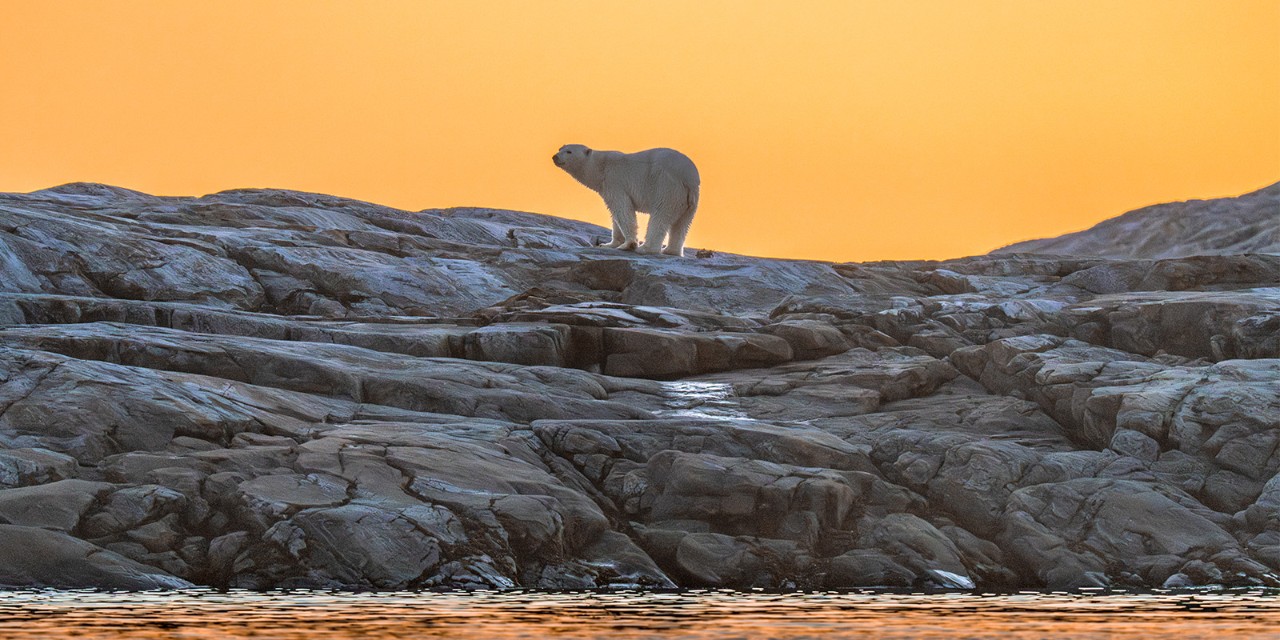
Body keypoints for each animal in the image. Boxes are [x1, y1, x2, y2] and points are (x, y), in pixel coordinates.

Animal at [552, 144, 700, 257]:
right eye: (560, 148)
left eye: (569, 151)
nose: (555, 156)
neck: (601, 166)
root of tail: (689, 178)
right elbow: (615, 215)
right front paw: (608, 244)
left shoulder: (614, 181)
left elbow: (622, 209)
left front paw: (628, 245)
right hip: (689, 201)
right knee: (682, 224)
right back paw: (670, 251)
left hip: (666, 187)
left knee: (659, 217)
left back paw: (645, 248)